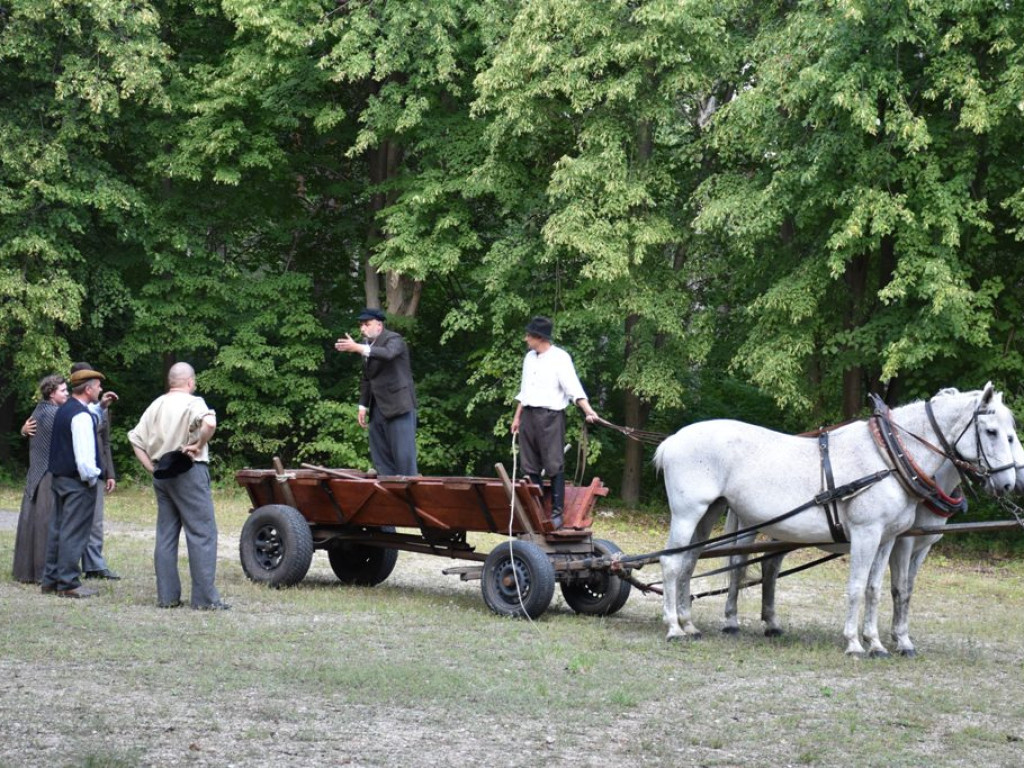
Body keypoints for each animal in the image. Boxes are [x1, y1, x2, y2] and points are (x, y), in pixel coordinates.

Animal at [651, 385, 1019, 655]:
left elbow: (876, 589)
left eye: (1010, 433)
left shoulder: (888, 539)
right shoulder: (868, 534)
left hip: (709, 513)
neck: (888, 457)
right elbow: (857, 587)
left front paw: (877, 643)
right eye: (991, 432)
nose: (1009, 483)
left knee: (690, 563)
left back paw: (690, 624)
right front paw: (855, 643)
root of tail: (673, 440)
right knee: (672, 563)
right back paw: (674, 628)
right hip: (689, 513)